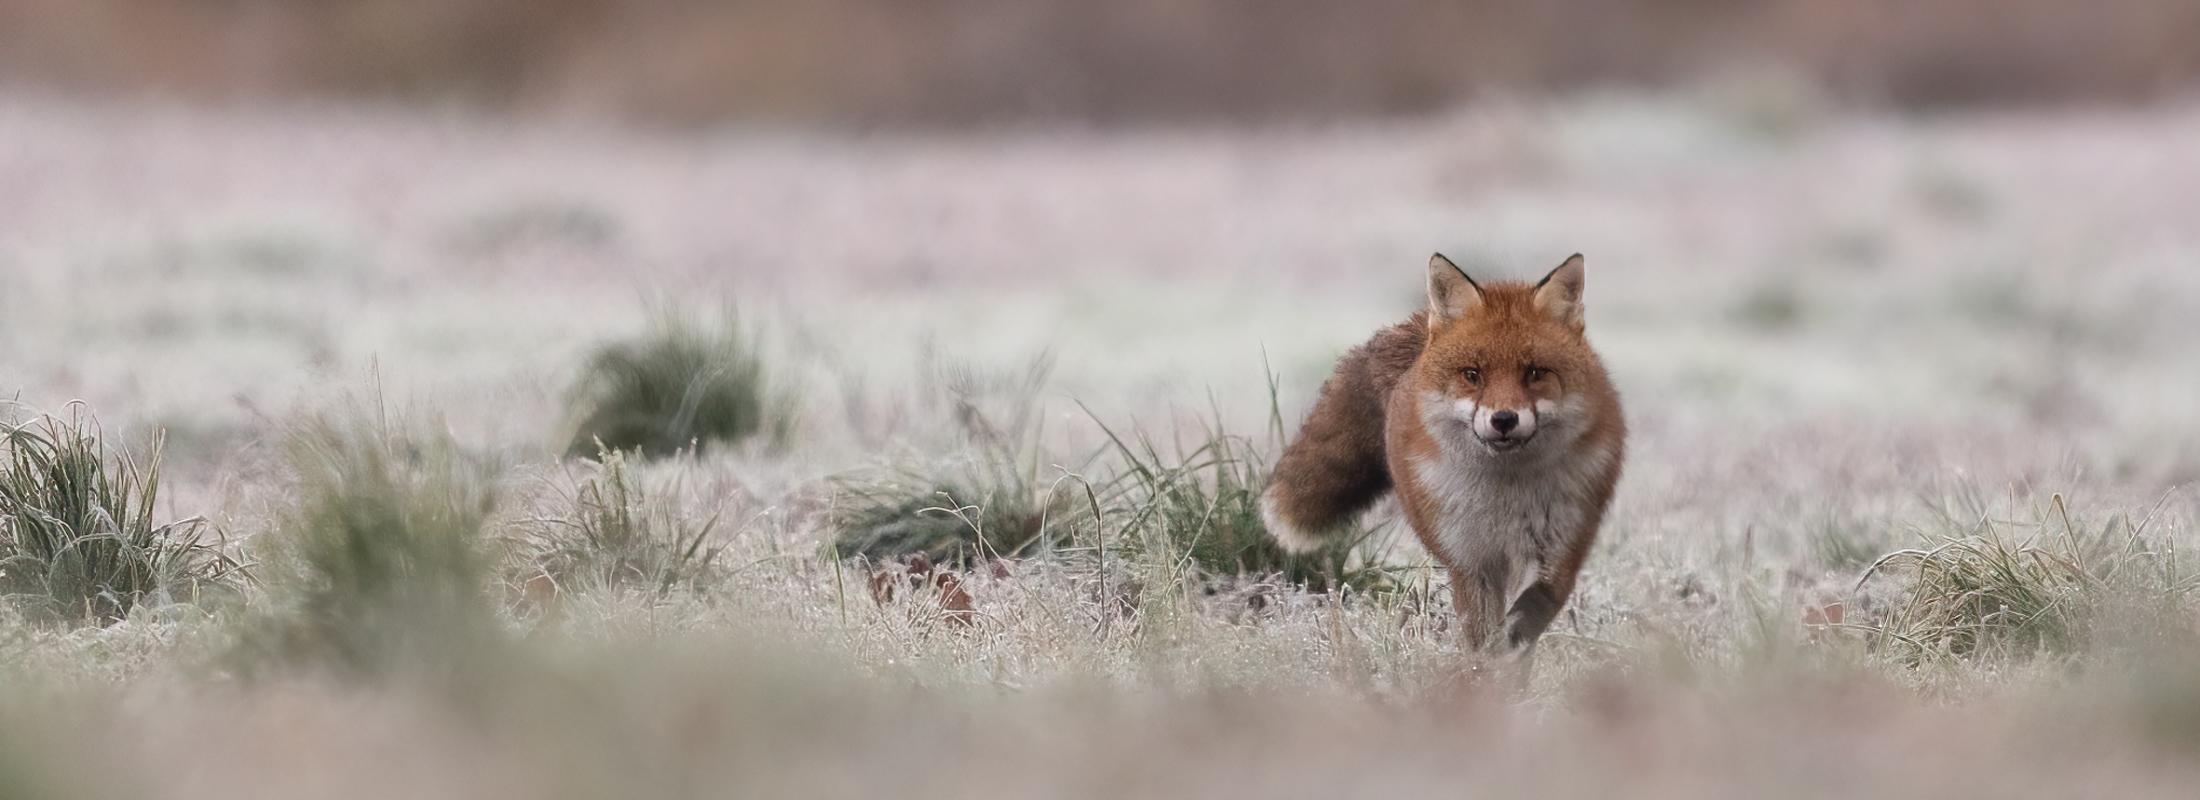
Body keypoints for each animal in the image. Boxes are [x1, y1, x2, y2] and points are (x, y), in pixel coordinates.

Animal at [1261, 253, 1625, 663]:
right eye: (1472, 374)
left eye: (1535, 373)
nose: (1503, 419)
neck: (1506, 497)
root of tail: (1422, 323)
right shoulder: (1470, 562)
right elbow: (1484, 638)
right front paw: (1483, 672)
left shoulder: (1558, 557)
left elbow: (1522, 623)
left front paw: (1506, 661)